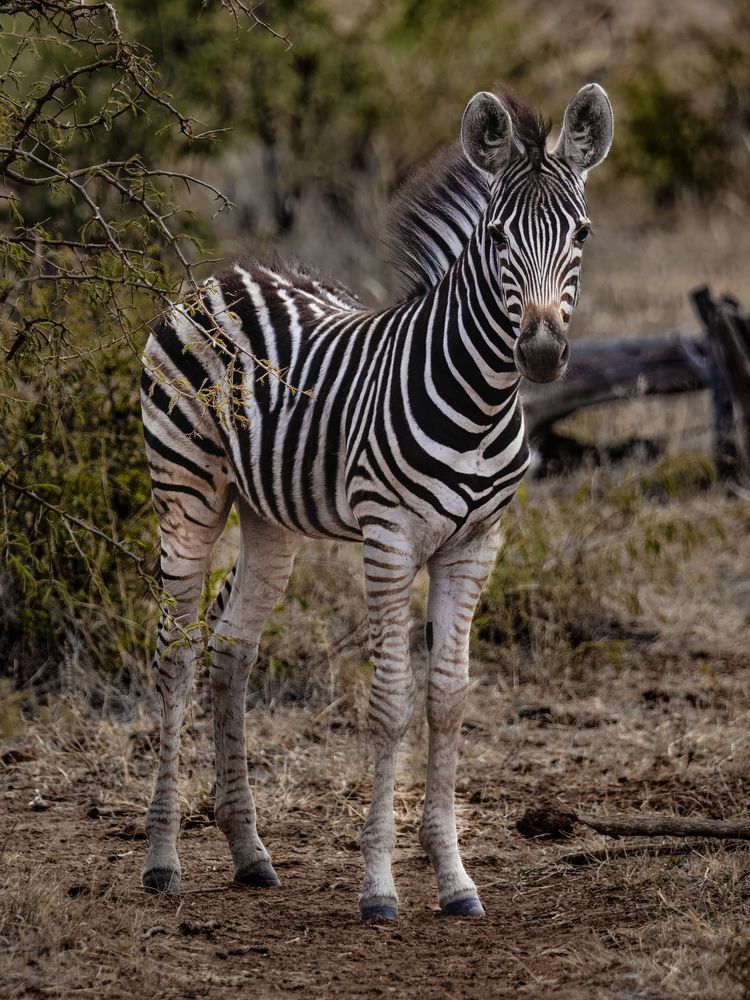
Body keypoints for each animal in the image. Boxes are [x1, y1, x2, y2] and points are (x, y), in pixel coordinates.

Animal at [140, 83, 613, 921]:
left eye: (582, 232)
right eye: (498, 236)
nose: (540, 354)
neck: (481, 400)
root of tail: (225, 275)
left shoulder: (477, 544)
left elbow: (449, 701)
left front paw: (455, 880)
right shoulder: (389, 537)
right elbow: (391, 702)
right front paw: (380, 888)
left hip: (269, 517)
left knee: (232, 649)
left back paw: (249, 852)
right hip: (186, 492)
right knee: (176, 658)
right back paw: (163, 862)